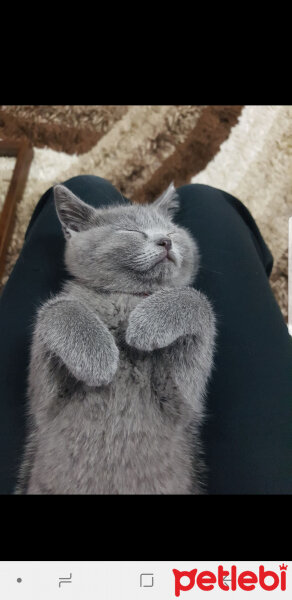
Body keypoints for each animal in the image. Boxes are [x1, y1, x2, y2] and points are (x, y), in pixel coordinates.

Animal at [16, 180, 217, 494]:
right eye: (131, 231)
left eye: (172, 232)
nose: (166, 241)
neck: (127, 298)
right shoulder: (45, 401)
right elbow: (57, 308)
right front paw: (97, 357)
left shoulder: (181, 403)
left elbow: (197, 300)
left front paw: (146, 324)